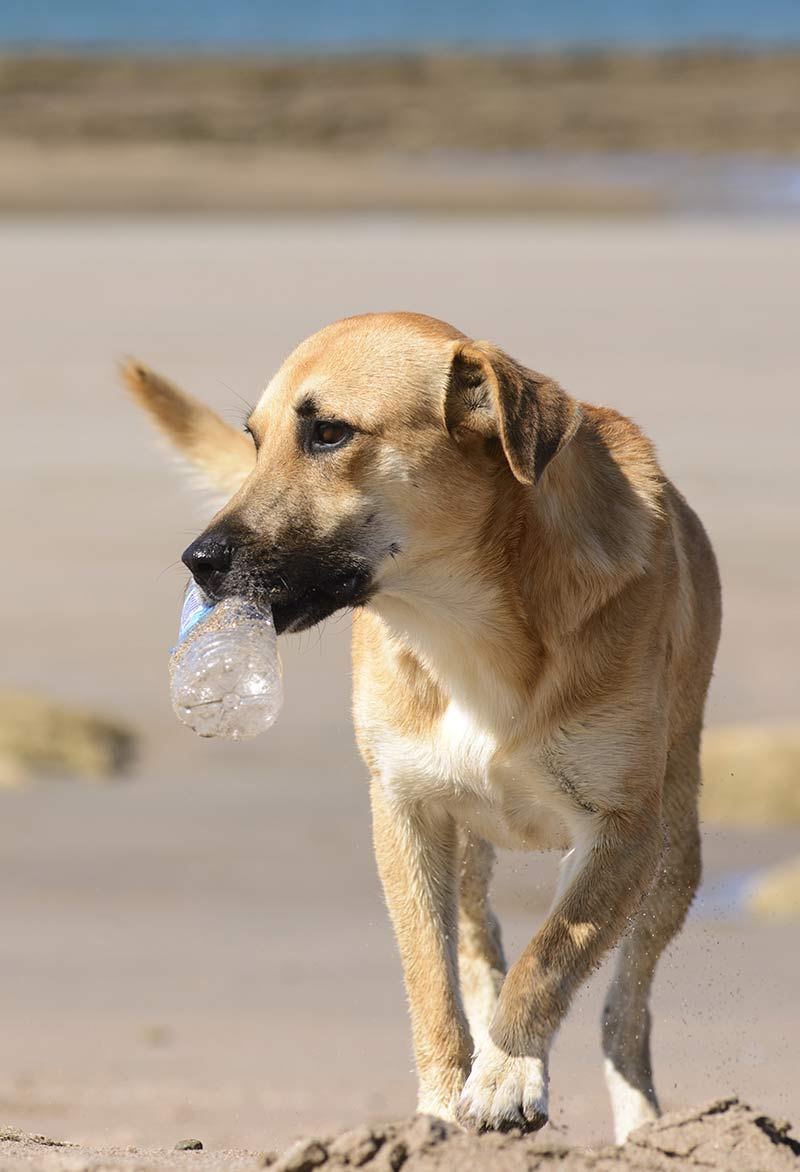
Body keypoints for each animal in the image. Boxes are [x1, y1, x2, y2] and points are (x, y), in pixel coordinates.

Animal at [123, 311, 721, 1143]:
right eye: (254, 438)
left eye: (329, 433)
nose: (198, 560)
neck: (468, 626)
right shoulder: (405, 809)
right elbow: (432, 981)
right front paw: (441, 1107)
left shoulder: (622, 832)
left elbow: (550, 957)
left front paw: (506, 1076)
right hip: (465, 842)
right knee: (479, 942)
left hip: (674, 853)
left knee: (623, 1010)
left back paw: (642, 1125)